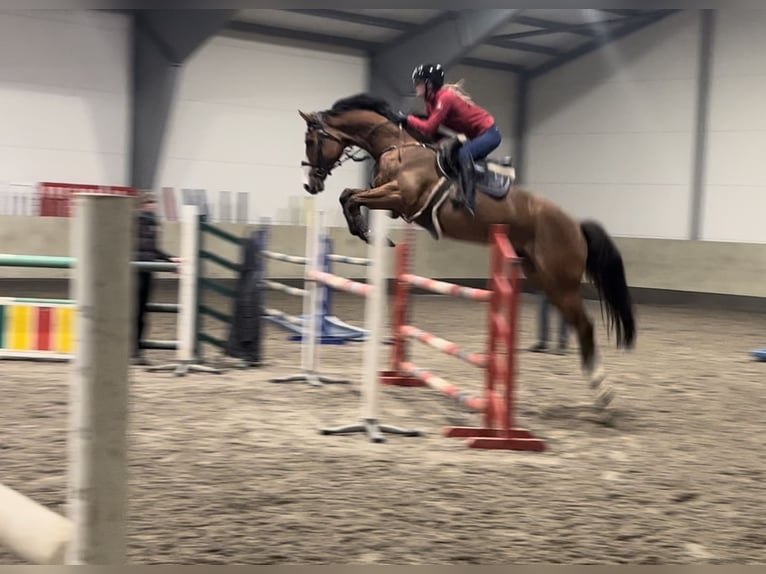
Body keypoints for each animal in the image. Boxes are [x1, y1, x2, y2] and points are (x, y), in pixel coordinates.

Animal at [298, 93, 636, 410]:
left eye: (311, 141)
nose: (311, 185)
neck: (397, 147)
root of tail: (575, 225)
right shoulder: (389, 200)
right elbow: (349, 196)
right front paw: (365, 230)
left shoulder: (398, 197)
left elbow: (351, 197)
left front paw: (367, 233)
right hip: (545, 280)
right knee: (577, 324)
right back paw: (599, 390)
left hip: (560, 282)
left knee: (585, 325)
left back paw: (603, 392)